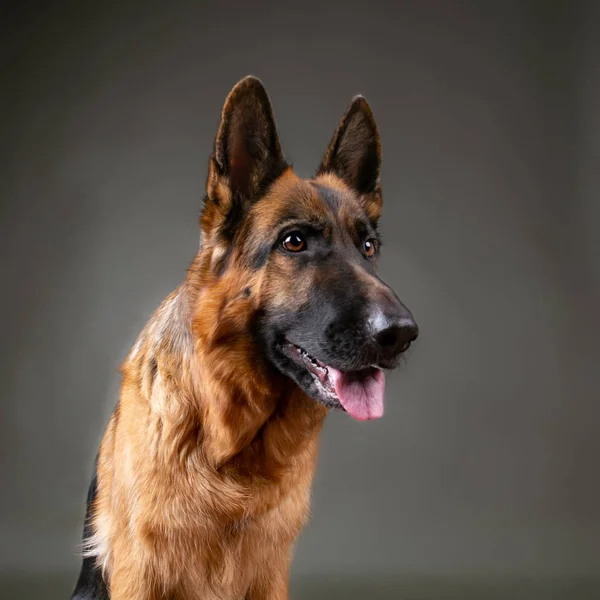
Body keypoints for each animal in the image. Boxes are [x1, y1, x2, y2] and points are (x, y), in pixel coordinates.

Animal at [71, 76, 418, 600]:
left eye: (368, 247)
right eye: (294, 242)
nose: (401, 333)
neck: (231, 444)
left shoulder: (269, 573)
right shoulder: (141, 574)